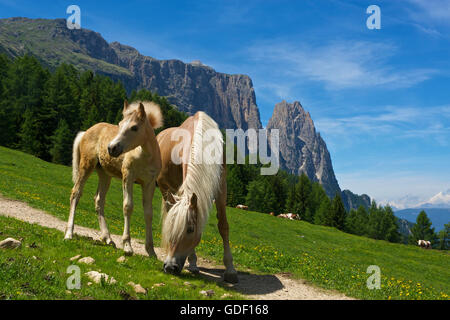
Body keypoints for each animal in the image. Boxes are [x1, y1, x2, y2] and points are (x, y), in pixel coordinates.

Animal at [63, 101, 162, 256]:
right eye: (120, 124)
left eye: (134, 127)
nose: (112, 148)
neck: (145, 156)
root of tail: (86, 132)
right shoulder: (128, 176)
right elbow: (128, 206)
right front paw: (127, 246)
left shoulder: (149, 183)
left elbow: (148, 213)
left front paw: (151, 251)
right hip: (86, 165)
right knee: (76, 193)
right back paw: (69, 234)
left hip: (104, 174)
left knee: (99, 200)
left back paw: (108, 238)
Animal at [156, 112, 239, 282]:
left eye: (190, 229)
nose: (169, 267)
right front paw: (193, 262)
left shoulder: (222, 186)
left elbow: (223, 226)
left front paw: (230, 269)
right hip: (163, 187)